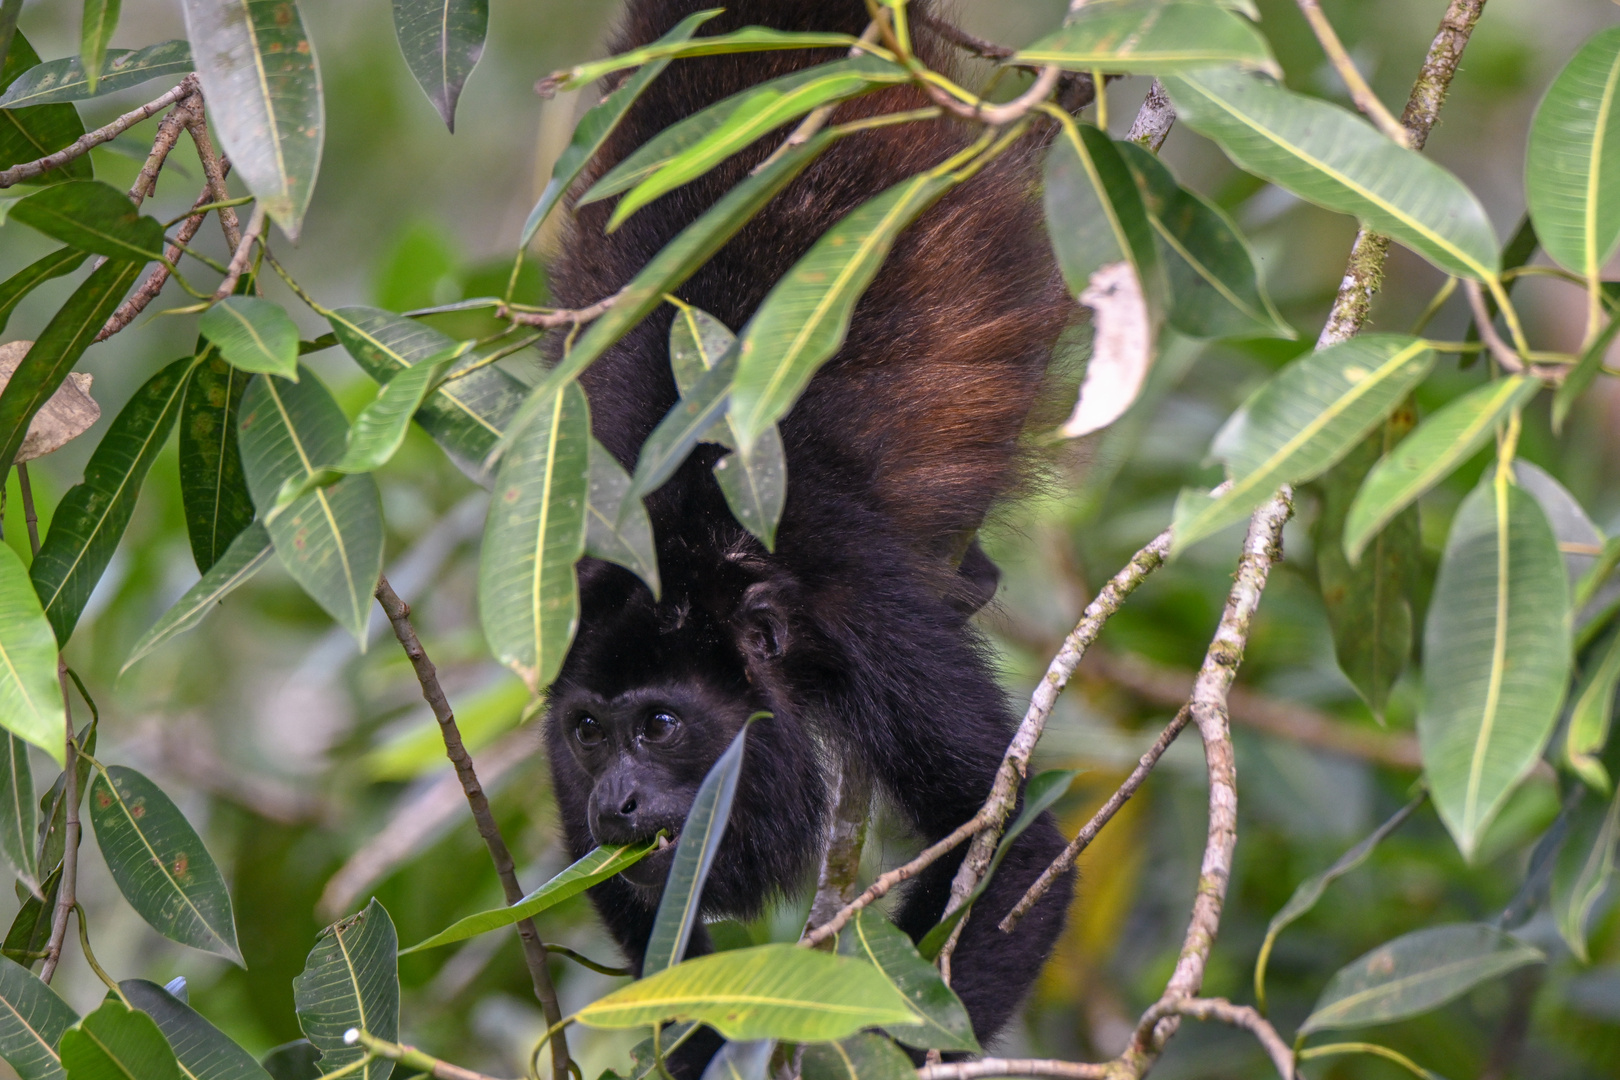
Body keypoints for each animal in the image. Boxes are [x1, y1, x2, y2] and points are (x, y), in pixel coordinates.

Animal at [541, 0, 1075, 1062]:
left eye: (658, 726)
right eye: (588, 731)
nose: (615, 800)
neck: (698, 560)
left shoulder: (857, 600)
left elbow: (1014, 845)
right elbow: (630, 905)